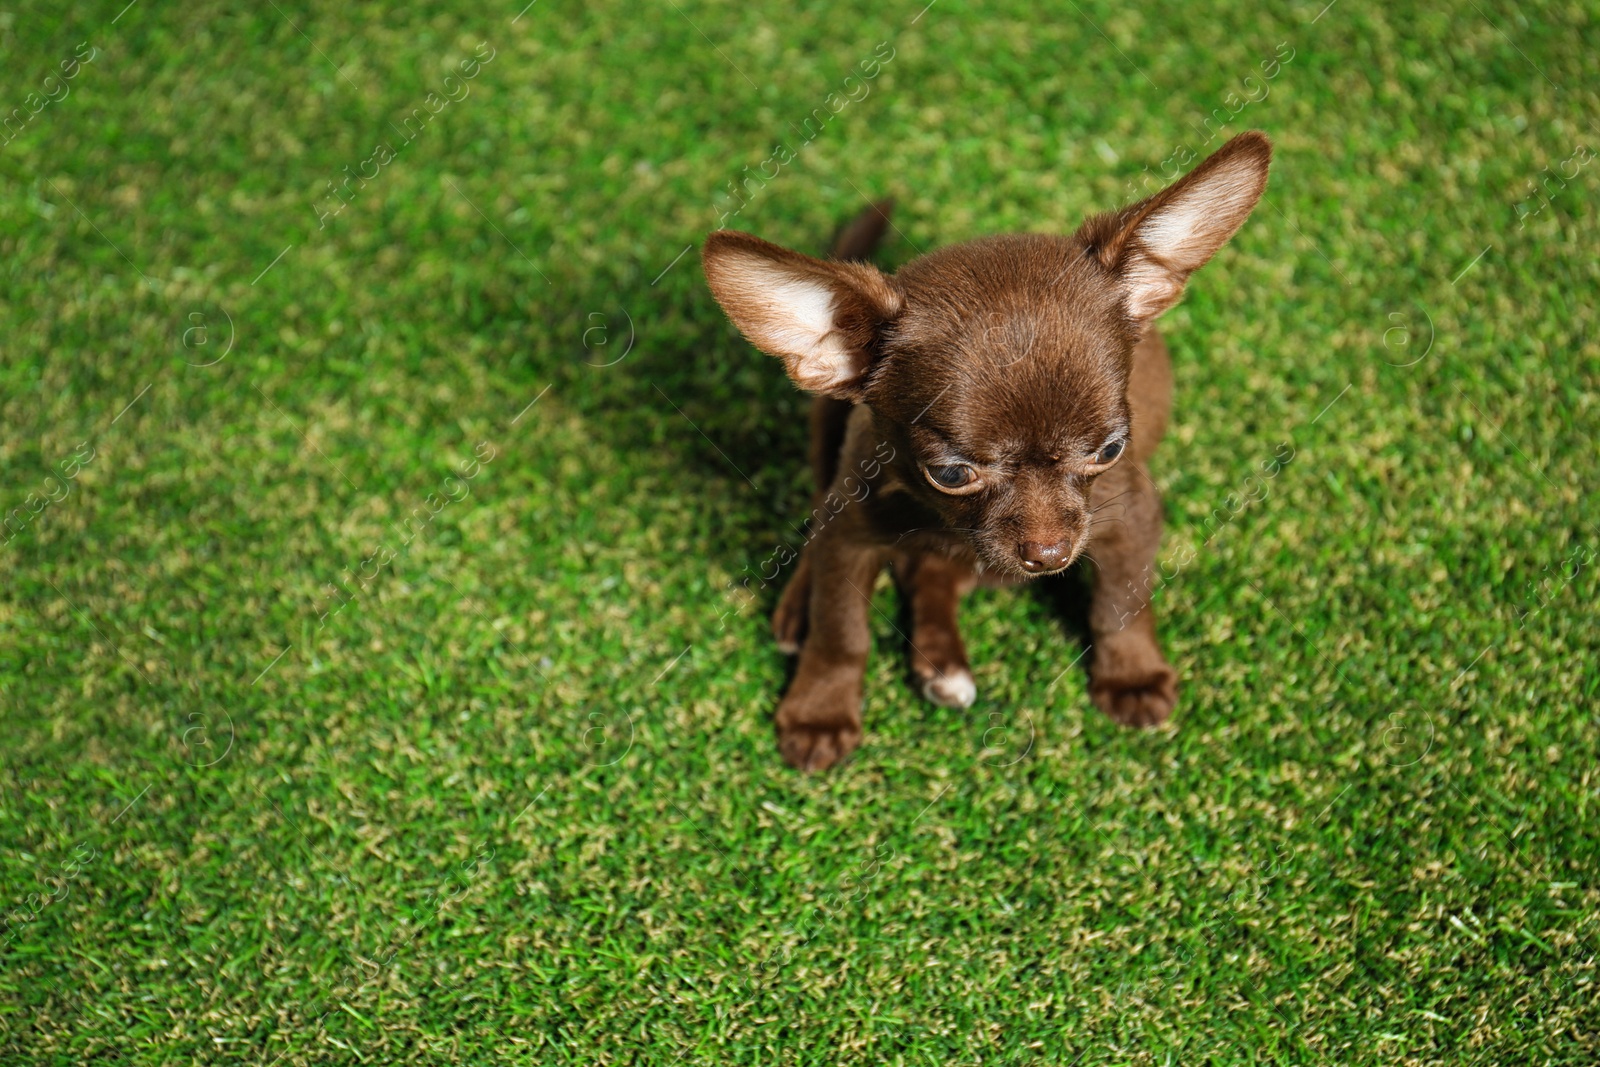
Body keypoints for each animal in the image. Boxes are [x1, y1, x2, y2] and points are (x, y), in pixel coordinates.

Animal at [707, 131, 1267, 767]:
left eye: (1109, 451)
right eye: (951, 474)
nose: (1050, 554)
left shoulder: (1130, 517)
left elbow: (1120, 604)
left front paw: (1132, 676)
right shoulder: (849, 533)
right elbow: (840, 629)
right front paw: (820, 711)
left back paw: (941, 663)